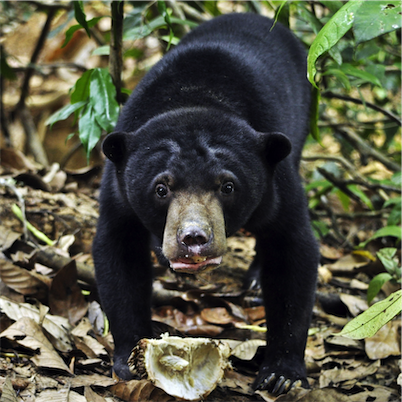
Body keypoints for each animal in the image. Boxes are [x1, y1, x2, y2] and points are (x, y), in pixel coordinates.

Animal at [92, 12, 318, 396]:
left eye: (228, 187)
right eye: (161, 189)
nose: (194, 238)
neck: (195, 100)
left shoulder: (277, 185)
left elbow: (292, 251)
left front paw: (282, 374)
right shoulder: (119, 190)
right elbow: (118, 254)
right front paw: (131, 358)